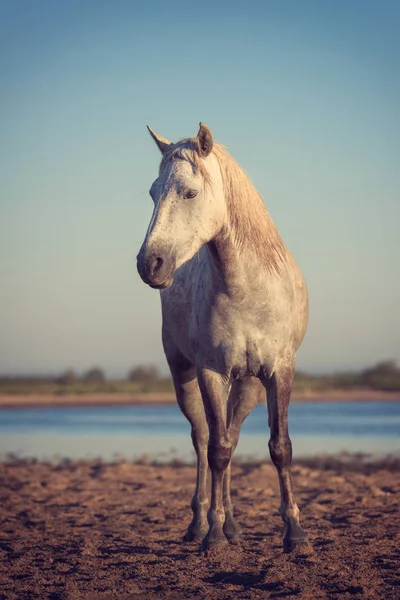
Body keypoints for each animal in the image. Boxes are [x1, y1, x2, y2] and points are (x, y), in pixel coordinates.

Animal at [138, 123, 310, 552]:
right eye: (152, 191)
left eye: (190, 193)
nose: (150, 264)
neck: (248, 288)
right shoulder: (211, 373)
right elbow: (216, 451)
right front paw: (212, 536)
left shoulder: (280, 371)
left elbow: (280, 447)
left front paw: (295, 532)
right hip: (184, 375)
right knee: (204, 439)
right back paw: (201, 523)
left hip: (247, 385)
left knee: (230, 433)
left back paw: (232, 524)